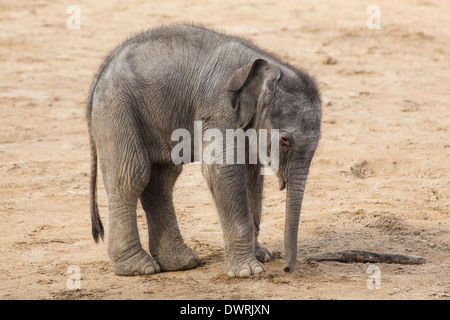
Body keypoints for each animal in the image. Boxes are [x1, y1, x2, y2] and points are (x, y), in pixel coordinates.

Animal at [86, 24, 322, 278]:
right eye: (285, 140)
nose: (287, 268)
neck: (268, 64)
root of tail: (100, 73)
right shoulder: (218, 106)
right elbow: (223, 171)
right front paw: (249, 272)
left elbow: (251, 175)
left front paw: (262, 256)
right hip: (117, 111)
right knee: (132, 177)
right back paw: (140, 267)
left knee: (162, 180)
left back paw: (182, 262)